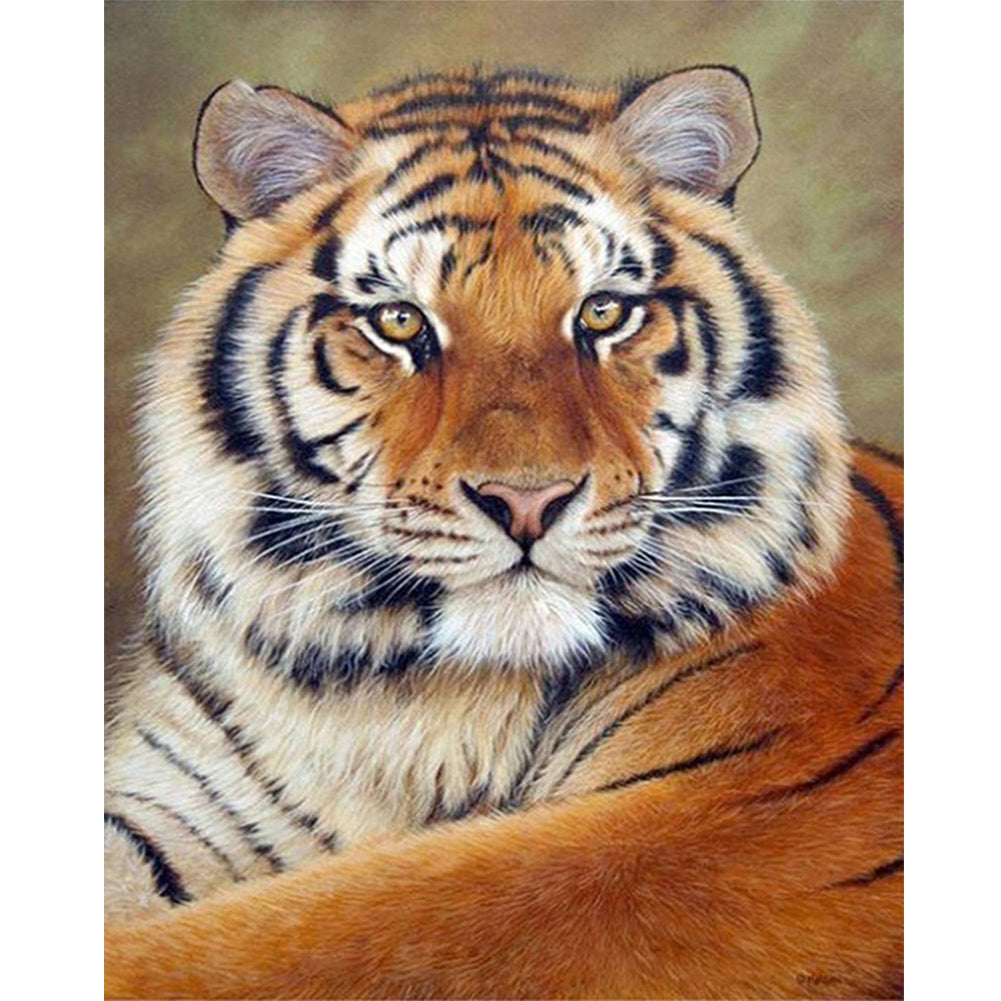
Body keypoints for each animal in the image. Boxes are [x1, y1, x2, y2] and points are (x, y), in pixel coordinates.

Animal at [104, 66, 903, 999]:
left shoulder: (721, 818)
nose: (527, 500)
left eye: (602, 313)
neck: (399, 699)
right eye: (400, 322)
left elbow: (324, 931)